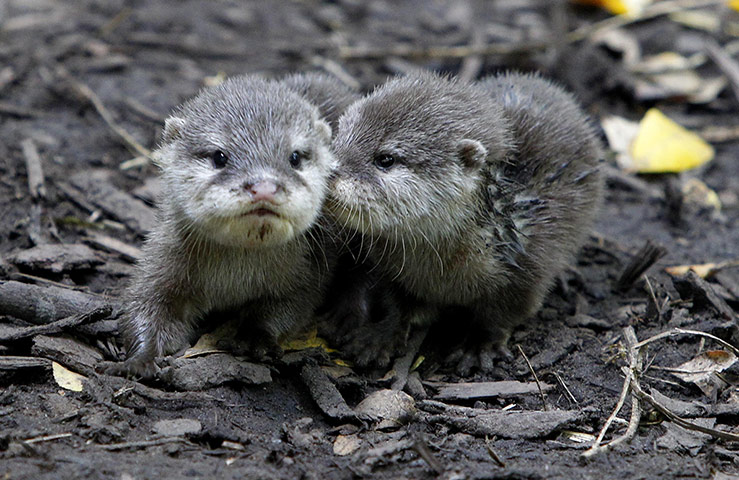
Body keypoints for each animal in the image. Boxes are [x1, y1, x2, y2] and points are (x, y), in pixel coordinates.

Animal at [107, 73, 357, 378]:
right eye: (219, 156)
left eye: (295, 157)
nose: (264, 187)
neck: (234, 278)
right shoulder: (163, 259)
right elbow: (145, 305)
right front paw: (140, 358)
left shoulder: (307, 271)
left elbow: (286, 308)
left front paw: (253, 337)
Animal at [327, 71, 603, 372]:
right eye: (339, 135)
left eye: (386, 159)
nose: (329, 173)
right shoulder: (389, 266)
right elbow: (395, 302)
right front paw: (380, 336)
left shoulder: (529, 267)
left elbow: (501, 315)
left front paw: (478, 346)